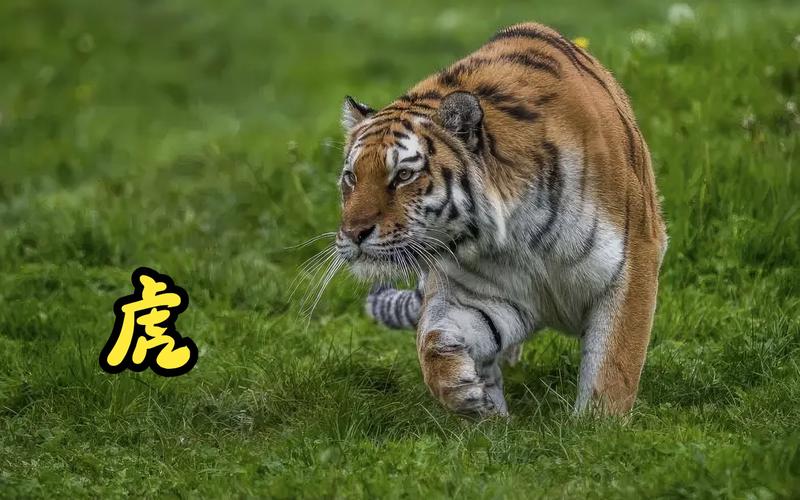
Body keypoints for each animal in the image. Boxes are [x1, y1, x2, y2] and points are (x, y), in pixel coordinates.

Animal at [335, 22, 667, 417]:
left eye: (402, 175)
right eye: (351, 177)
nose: (353, 233)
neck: (514, 232)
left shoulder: (633, 259)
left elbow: (613, 365)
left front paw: (597, 425)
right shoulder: (478, 293)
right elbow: (431, 341)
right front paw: (465, 392)